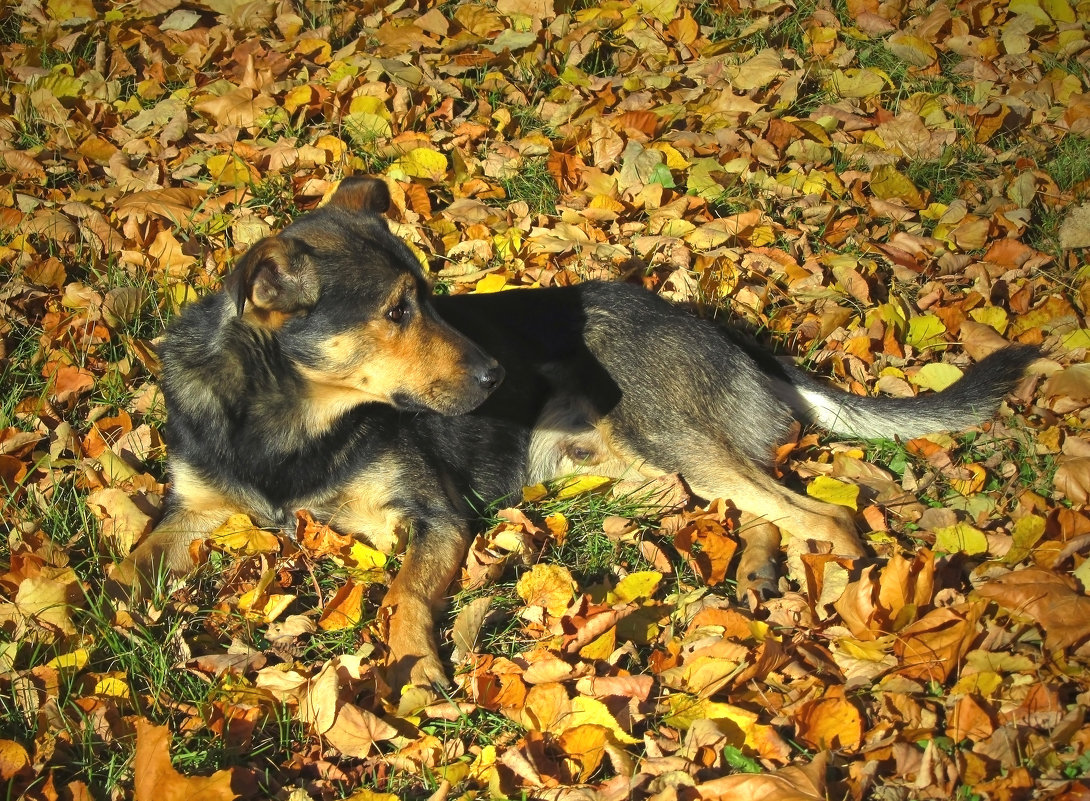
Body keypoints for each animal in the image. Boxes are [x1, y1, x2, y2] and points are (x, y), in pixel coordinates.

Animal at [108, 176, 1037, 688]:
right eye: (398, 311)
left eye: (429, 298)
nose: (495, 378)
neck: (283, 418)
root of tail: (734, 338)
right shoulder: (192, 507)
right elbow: (126, 567)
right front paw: (90, 634)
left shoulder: (431, 514)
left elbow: (405, 595)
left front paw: (414, 672)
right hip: (643, 473)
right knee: (756, 505)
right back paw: (760, 567)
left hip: (672, 437)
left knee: (824, 512)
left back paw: (849, 601)